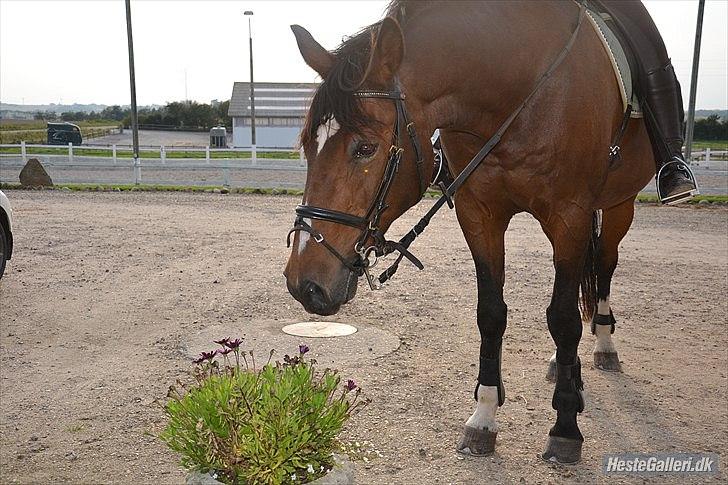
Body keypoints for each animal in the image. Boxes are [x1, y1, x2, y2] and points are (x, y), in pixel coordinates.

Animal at [282, 0, 656, 462]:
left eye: (366, 148)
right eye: (307, 145)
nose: (304, 283)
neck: (521, 89)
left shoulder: (570, 216)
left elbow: (564, 318)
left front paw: (565, 426)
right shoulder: (480, 216)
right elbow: (491, 314)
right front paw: (484, 416)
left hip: (618, 205)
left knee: (604, 266)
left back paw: (603, 346)